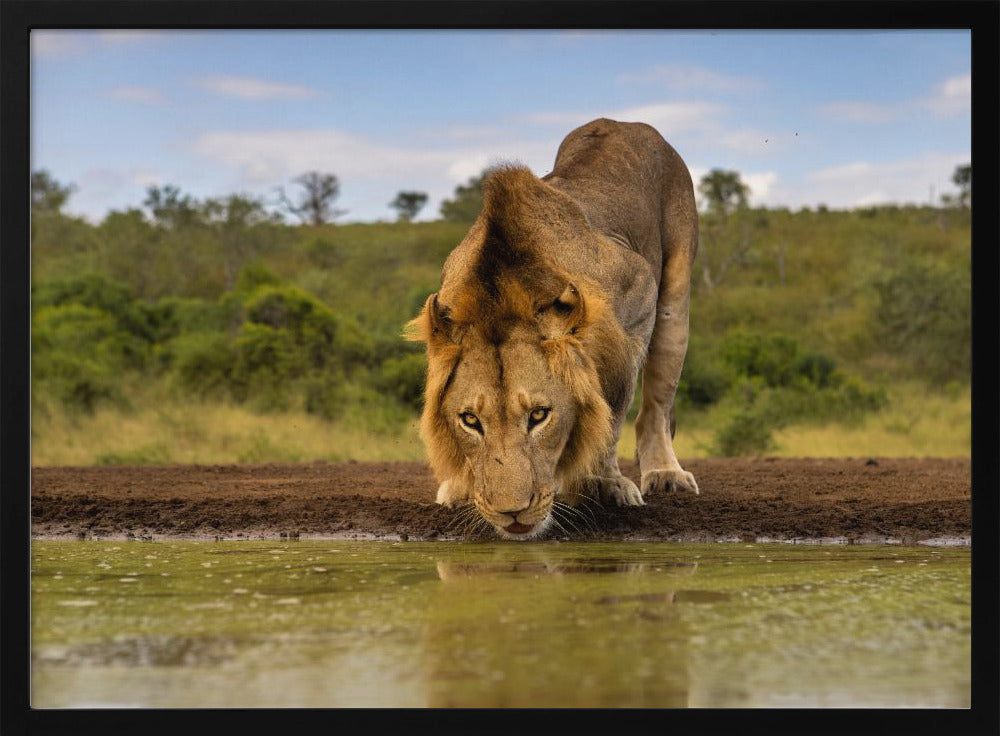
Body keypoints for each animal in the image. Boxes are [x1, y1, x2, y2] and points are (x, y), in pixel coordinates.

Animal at [407, 118, 699, 540]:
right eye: (470, 421)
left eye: (539, 416)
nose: (511, 514)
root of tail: (624, 122)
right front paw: (460, 486)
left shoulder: (639, 294)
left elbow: (612, 412)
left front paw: (604, 483)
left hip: (675, 296)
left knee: (656, 406)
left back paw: (665, 473)